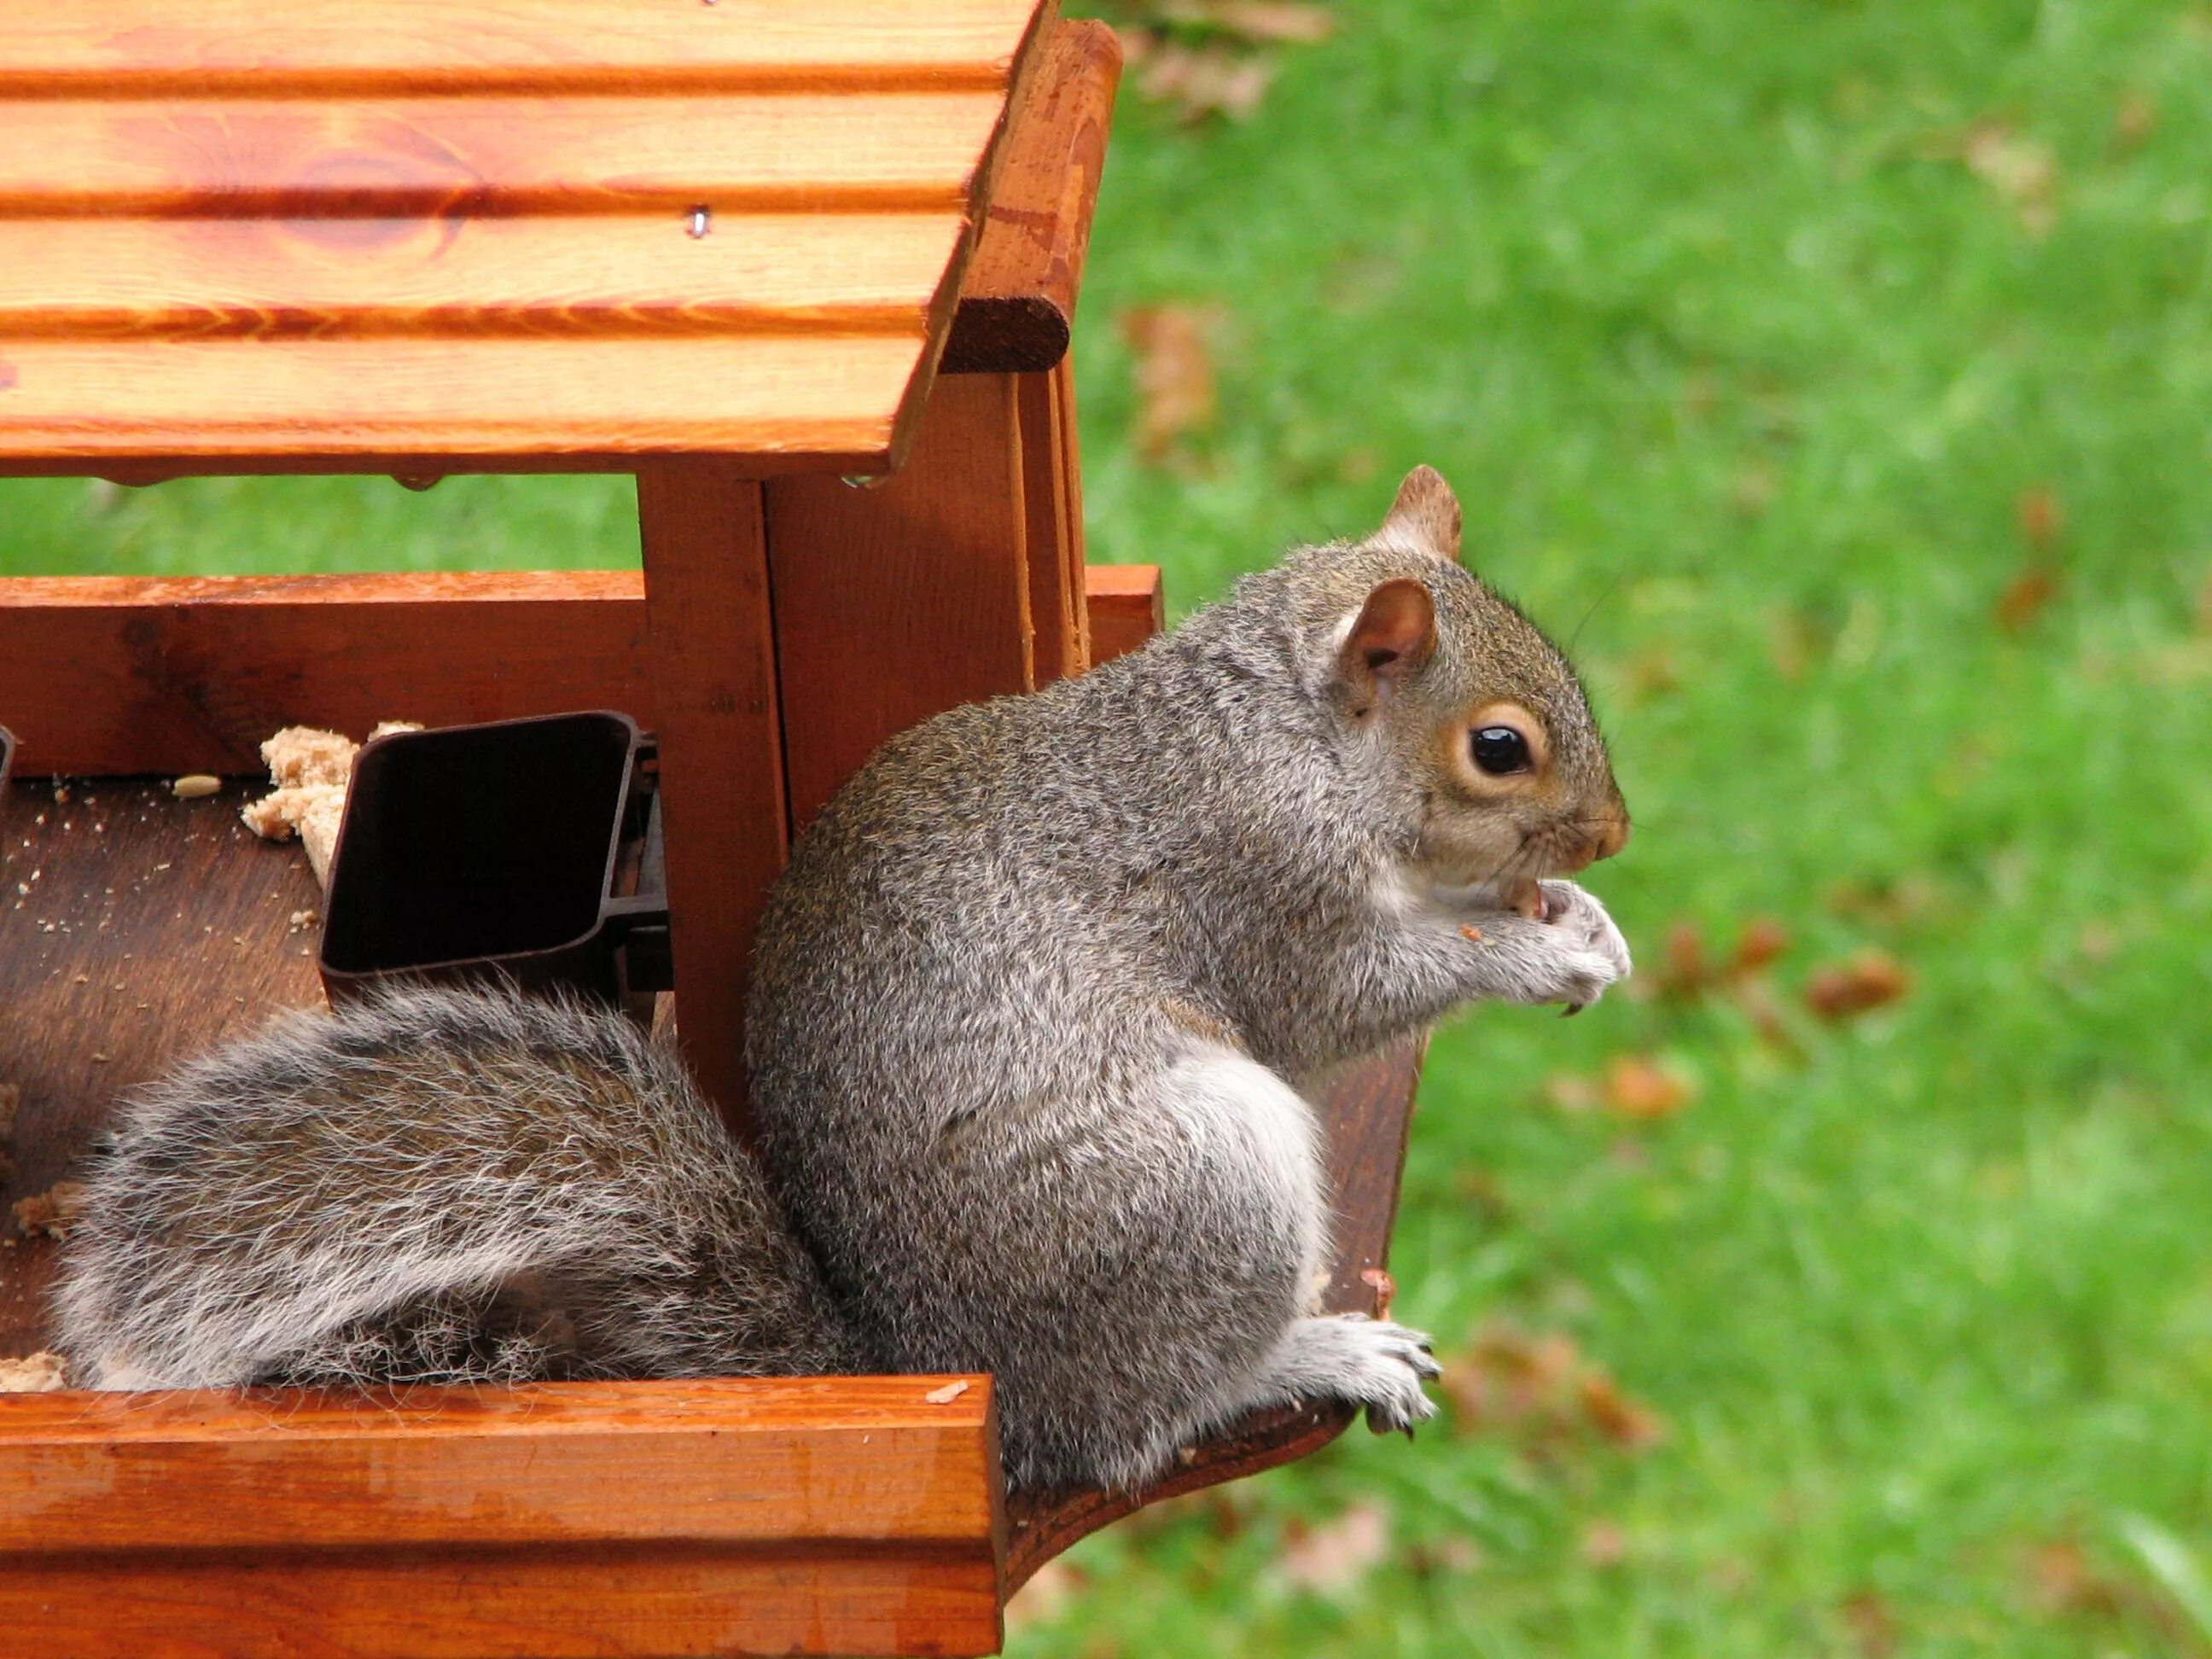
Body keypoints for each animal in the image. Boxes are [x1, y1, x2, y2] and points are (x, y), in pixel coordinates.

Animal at [60, 464, 1637, 1495]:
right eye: (1499, 748)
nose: (1614, 831)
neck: (1288, 735)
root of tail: (954, 1372)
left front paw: (1587, 914)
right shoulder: (1259, 877)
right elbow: (1346, 995)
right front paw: (1543, 944)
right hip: (1198, 1185)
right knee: (1140, 1420)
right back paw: (1307, 1353)